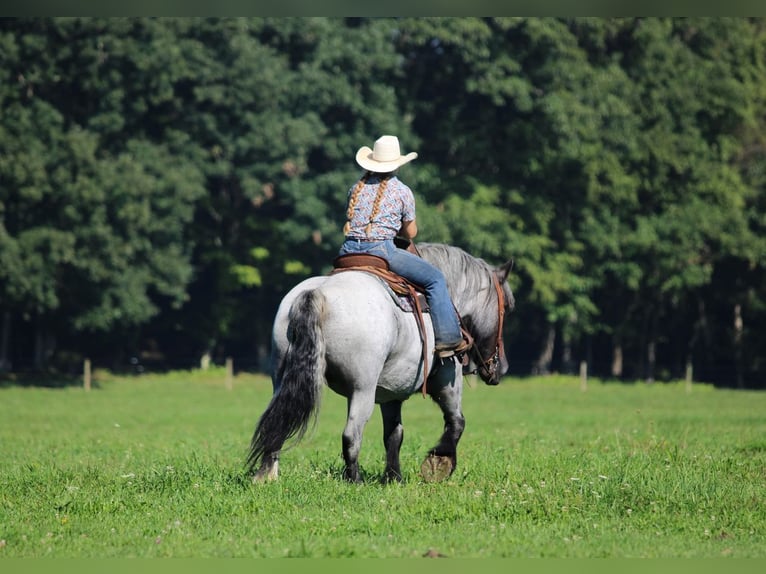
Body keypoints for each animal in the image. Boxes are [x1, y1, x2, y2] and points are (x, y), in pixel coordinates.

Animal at [247, 242, 514, 483]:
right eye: (508, 307)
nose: (502, 368)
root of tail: (319, 293)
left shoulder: (390, 394)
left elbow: (394, 435)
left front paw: (394, 477)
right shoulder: (447, 379)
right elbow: (457, 422)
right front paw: (438, 463)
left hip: (281, 380)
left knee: (277, 424)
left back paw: (266, 476)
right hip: (362, 390)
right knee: (351, 435)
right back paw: (354, 481)